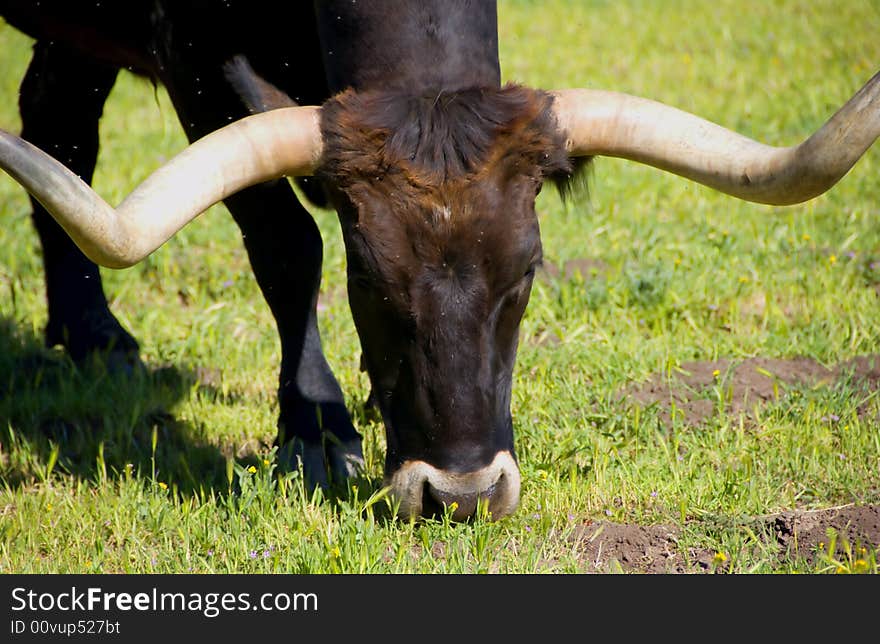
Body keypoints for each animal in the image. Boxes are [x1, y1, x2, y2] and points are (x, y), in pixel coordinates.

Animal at [1, 0, 880, 520]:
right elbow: (287, 243)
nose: (461, 493)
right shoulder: (190, 58)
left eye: (525, 274)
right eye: (367, 278)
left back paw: (92, 335)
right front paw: (314, 427)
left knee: (57, 119)